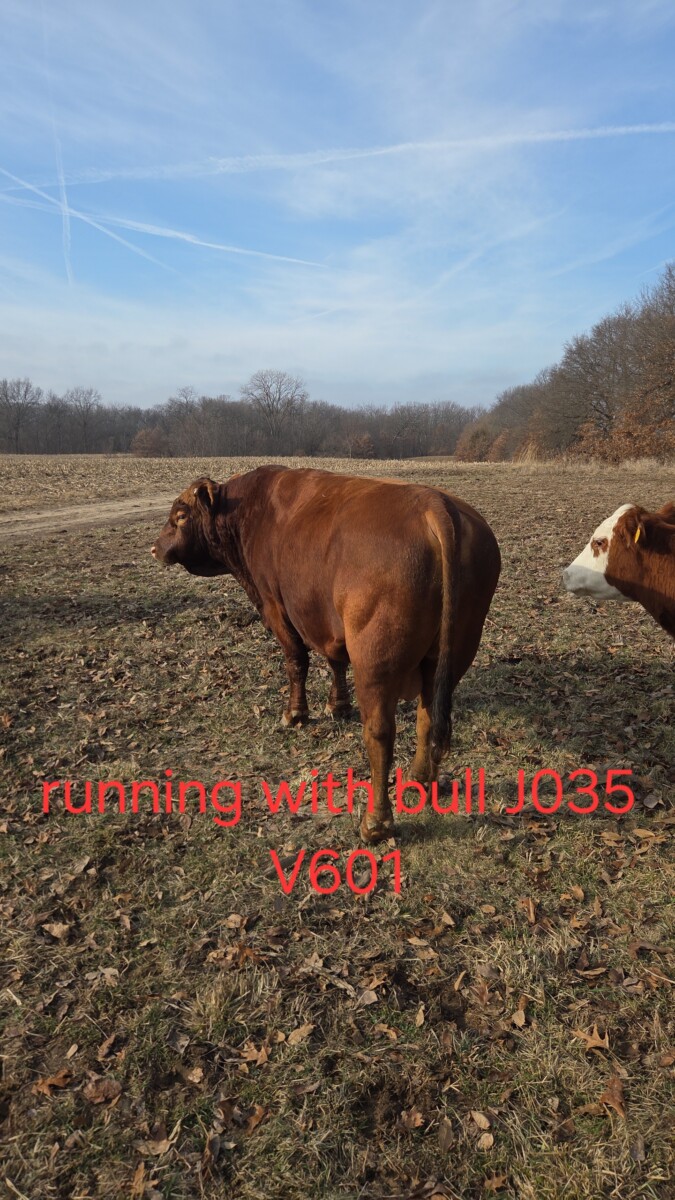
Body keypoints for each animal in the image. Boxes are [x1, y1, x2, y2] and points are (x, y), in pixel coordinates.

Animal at [151, 466, 501, 842]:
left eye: (181, 516)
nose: (155, 548)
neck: (250, 512)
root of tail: (433, 502)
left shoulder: (277, 608)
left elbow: (297, 662)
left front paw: (295, 713)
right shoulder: (328, 623)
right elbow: (335, 661)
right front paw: (337, 705)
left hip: (375, 662)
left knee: (380, 733)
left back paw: (375, 822)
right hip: (450, 655)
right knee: (428, 716)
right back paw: (419, 779)